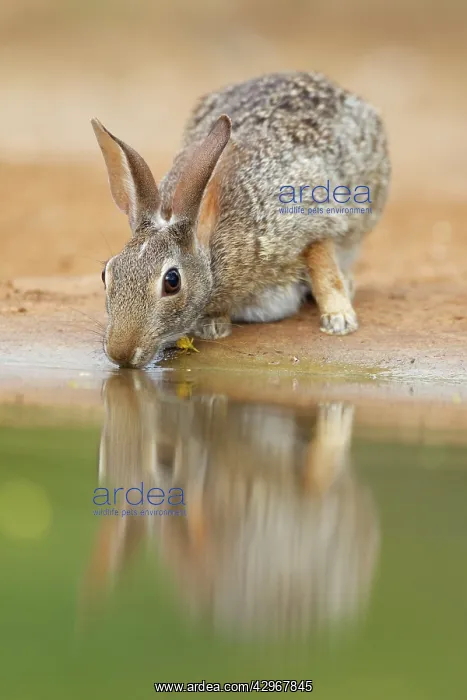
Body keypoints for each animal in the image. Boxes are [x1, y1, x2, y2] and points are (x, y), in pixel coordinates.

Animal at [92, 71, 390, 368]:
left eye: (172, 281)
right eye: (107, 273)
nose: (120, 354)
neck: (213, 251)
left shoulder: (309, 221)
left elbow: (322, 263)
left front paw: (339, 320)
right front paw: (213, 325)